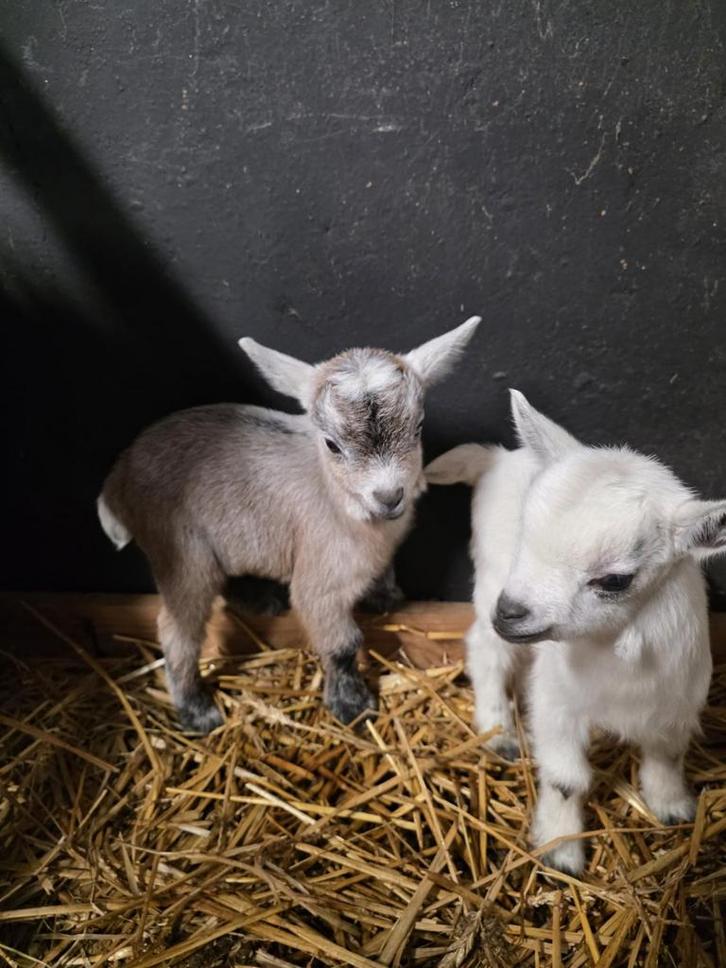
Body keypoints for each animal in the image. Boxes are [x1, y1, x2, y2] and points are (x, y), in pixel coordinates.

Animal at [97, 316, 481, 733]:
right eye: (332, 444)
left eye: (418, 427)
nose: (389, 495)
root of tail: (120, 475)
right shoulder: (320, 583)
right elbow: (342, 643)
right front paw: (352, 705)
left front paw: (385, 597)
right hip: (181, 553)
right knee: (177, 630)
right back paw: (197, 711)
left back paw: (261, 600)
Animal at [425, 390, 718, 874]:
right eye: (525, 531)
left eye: (615, 580)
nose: (511, 612)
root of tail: (496, 457)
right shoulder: (557, 704)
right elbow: (565, 779)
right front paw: (560, 849)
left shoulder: (677, 702)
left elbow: (667, 754)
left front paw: (672, 807)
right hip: (490, 576)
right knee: (485, 648)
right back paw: (498, 729)